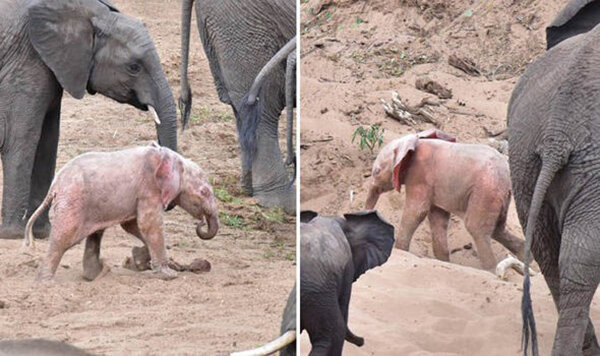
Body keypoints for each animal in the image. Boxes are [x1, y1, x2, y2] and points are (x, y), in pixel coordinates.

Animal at [0, 0, 178, 241]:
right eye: (133, 67)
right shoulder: (26, 62)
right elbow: (21, 138)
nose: (167, 204)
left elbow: (48, 141)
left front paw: (42, 233)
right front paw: (13, 234)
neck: (90, 12)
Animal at [25, 143, 220, 280]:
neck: (170, 157)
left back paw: (97, 274)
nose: (201, 222)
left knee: (95, 233)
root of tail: (54, 185)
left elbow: (133, 225)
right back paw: (45, 282)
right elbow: (148, 224)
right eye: (204, 192)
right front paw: (169, 275)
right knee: (63, 237)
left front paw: (138, 259)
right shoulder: (149, 188)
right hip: (73, 202)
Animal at [364, 129, 524, 272]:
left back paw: (492, 270)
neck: (413, 141)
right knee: (497, 229)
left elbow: (417, 212)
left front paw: (400, 250)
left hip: (486, 191)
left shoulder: (420, 176)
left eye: (377, 171)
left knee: (476, 227)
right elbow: (438, 218)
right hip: (498, 196)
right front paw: (444, 261)